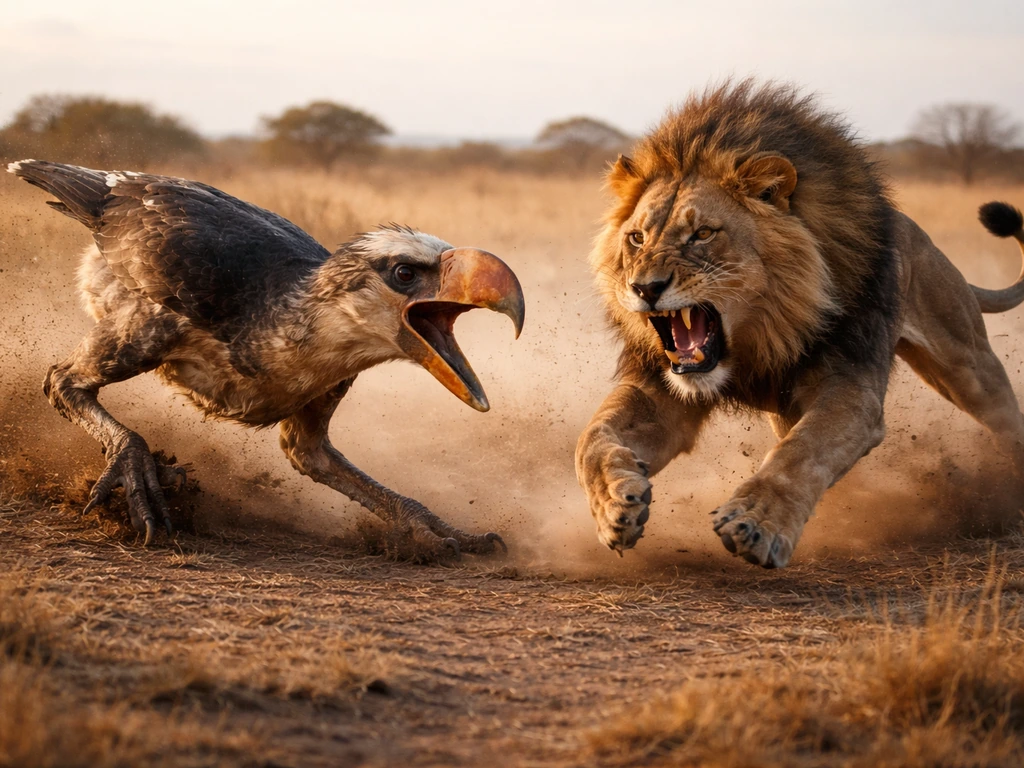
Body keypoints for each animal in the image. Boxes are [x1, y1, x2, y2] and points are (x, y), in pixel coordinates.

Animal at [575, 79, 1024, 568]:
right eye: (637, 238)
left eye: (703, 234)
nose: (644, 288)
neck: (760, 337)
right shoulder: (660, 391)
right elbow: (591, 439)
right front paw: (614, 504)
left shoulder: (849, 387)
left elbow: (802, 451)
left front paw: (758, 521)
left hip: (967, 363)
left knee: (1004, 416)